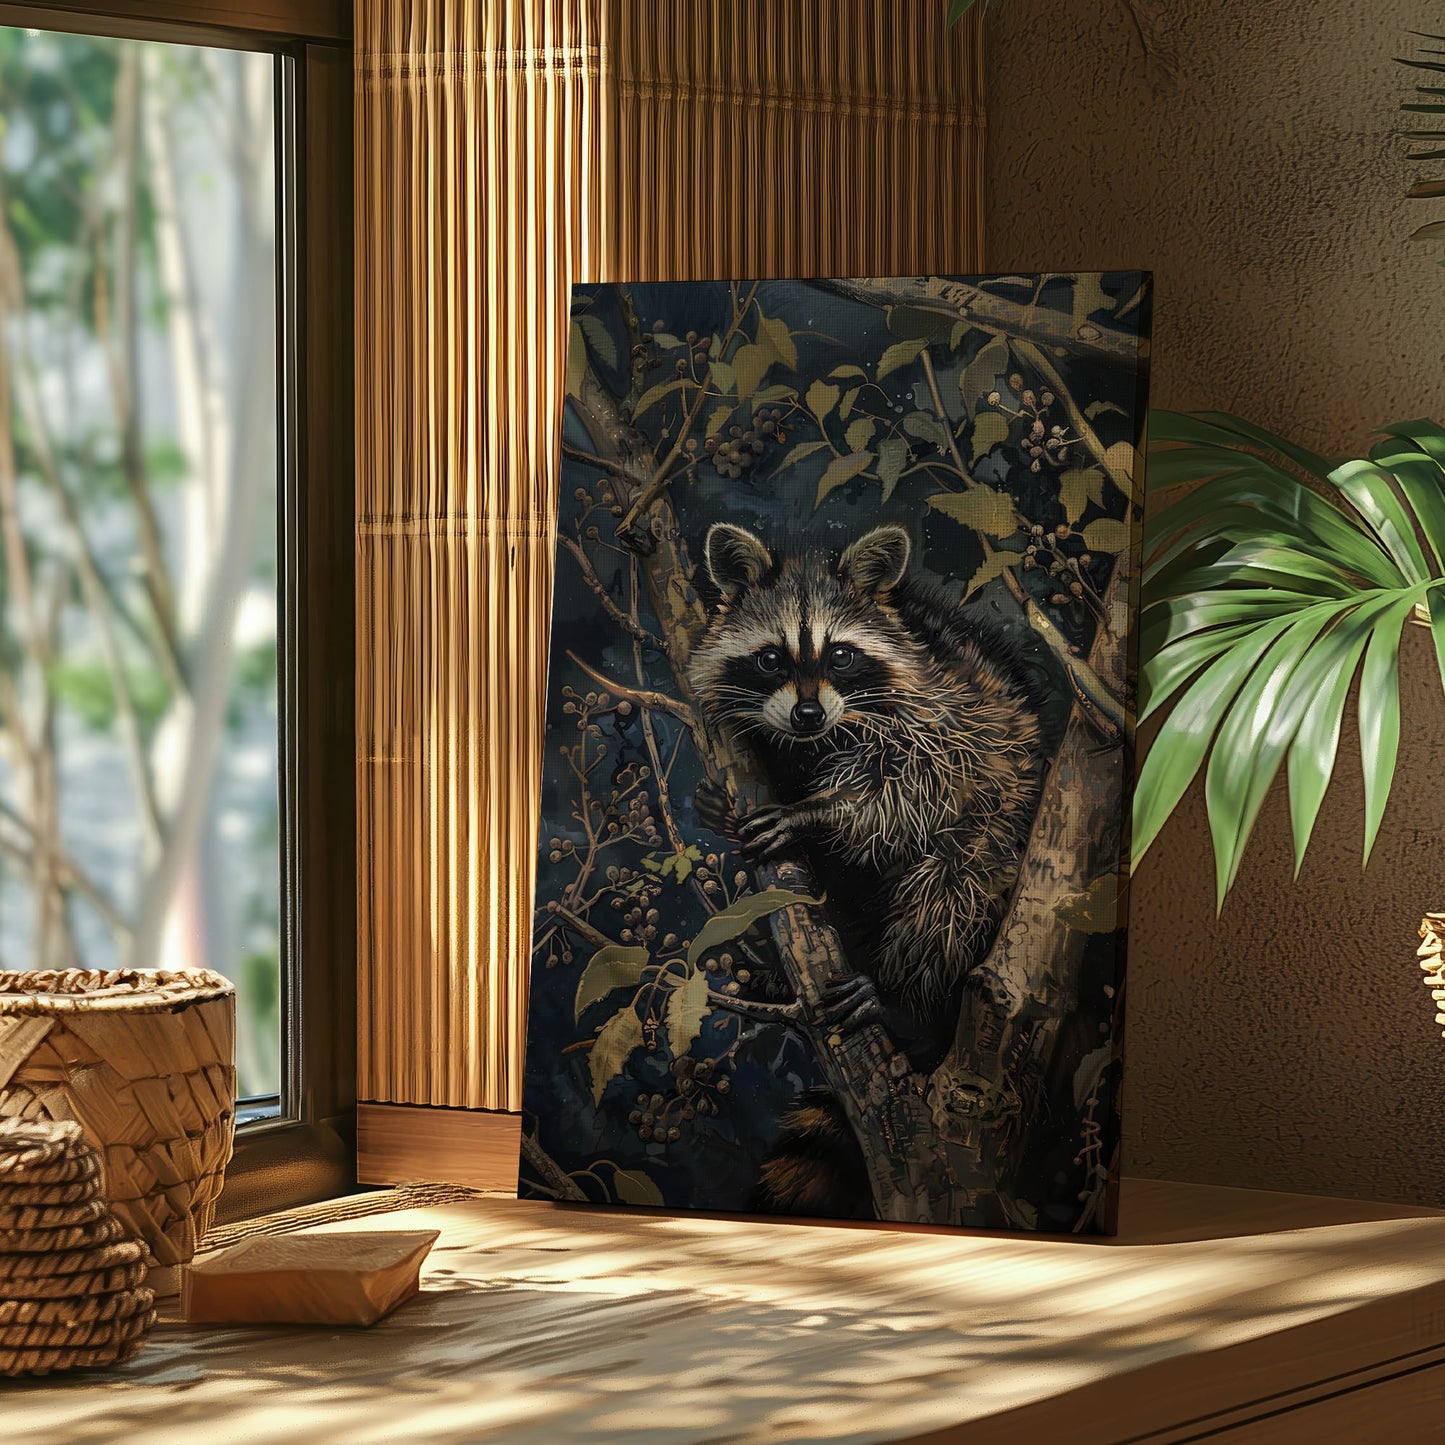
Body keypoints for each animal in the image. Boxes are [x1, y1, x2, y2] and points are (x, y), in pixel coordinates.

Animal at [686, 521, 1045, 1216]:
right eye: (771, 658)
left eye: (841, 656)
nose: (807, 715)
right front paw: (719, 805)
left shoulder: (947, 714)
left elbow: (910, 793)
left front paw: (818, 812)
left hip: (998, 844)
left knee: (950, 891)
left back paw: (906, 1000)